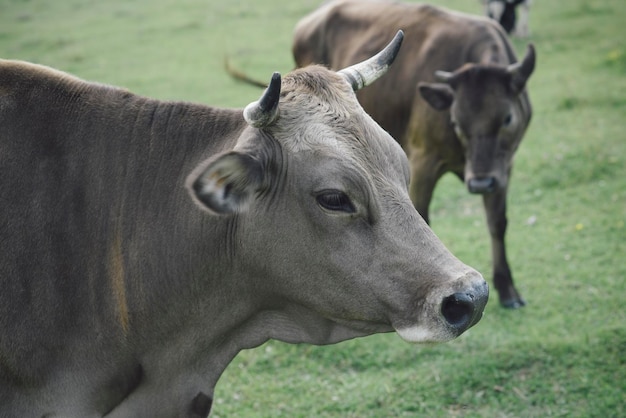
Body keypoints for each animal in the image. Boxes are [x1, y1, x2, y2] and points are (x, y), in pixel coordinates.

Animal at [292, 0, 532, 306]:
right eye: (456, 121)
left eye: (507, 118)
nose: (479, 183)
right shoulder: (423, 162)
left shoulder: (502, 168)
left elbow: (497, 222)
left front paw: (508, 290)